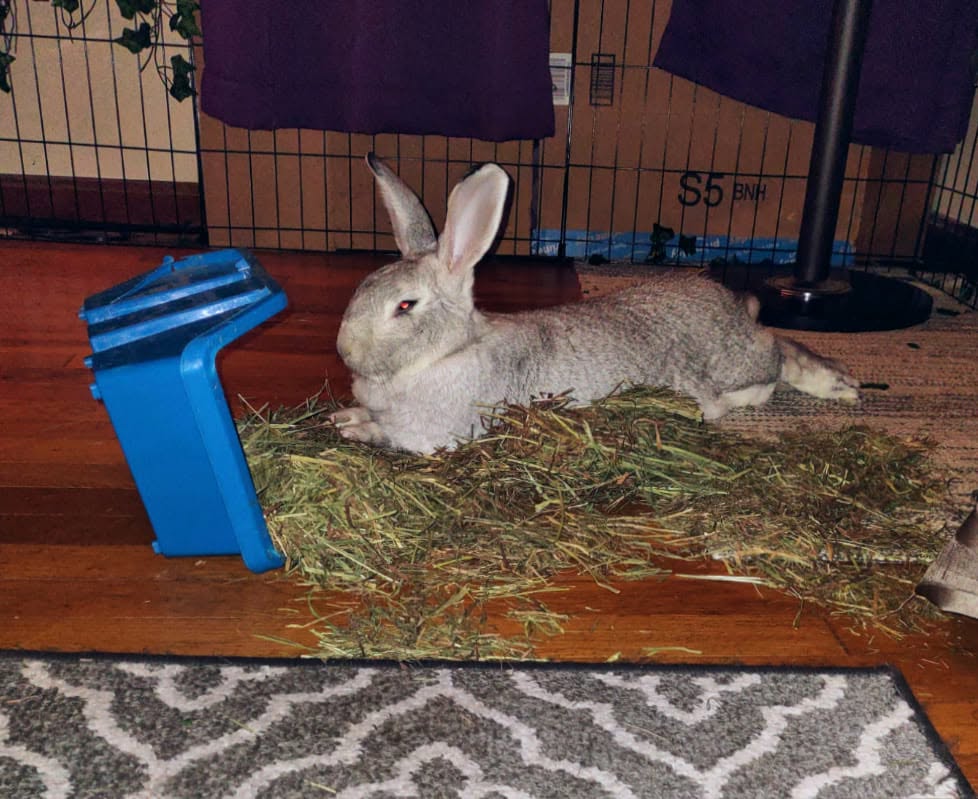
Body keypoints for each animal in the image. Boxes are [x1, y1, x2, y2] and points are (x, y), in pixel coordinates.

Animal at [330, 153, 860, 454]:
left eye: (405, 306)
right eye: (363, 286)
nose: (344, 350)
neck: (447, 352)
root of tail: (735, 307)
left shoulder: (436, 434)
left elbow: (391, 436)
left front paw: (355, 430)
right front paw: (343, 417)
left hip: (739, 370)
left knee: (780, 353)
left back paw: (841, 386)